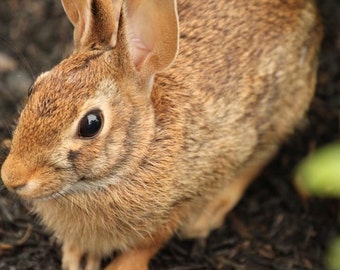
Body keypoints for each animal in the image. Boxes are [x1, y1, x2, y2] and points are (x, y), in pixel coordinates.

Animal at [1, 0, 322, 268]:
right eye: (33, 88)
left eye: (91, 124)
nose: (11, 178)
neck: (141, 149)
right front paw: (77, 258)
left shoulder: (184, 197)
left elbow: (150, 242)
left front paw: (120, 266)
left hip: (279, 112)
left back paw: (209, 215)